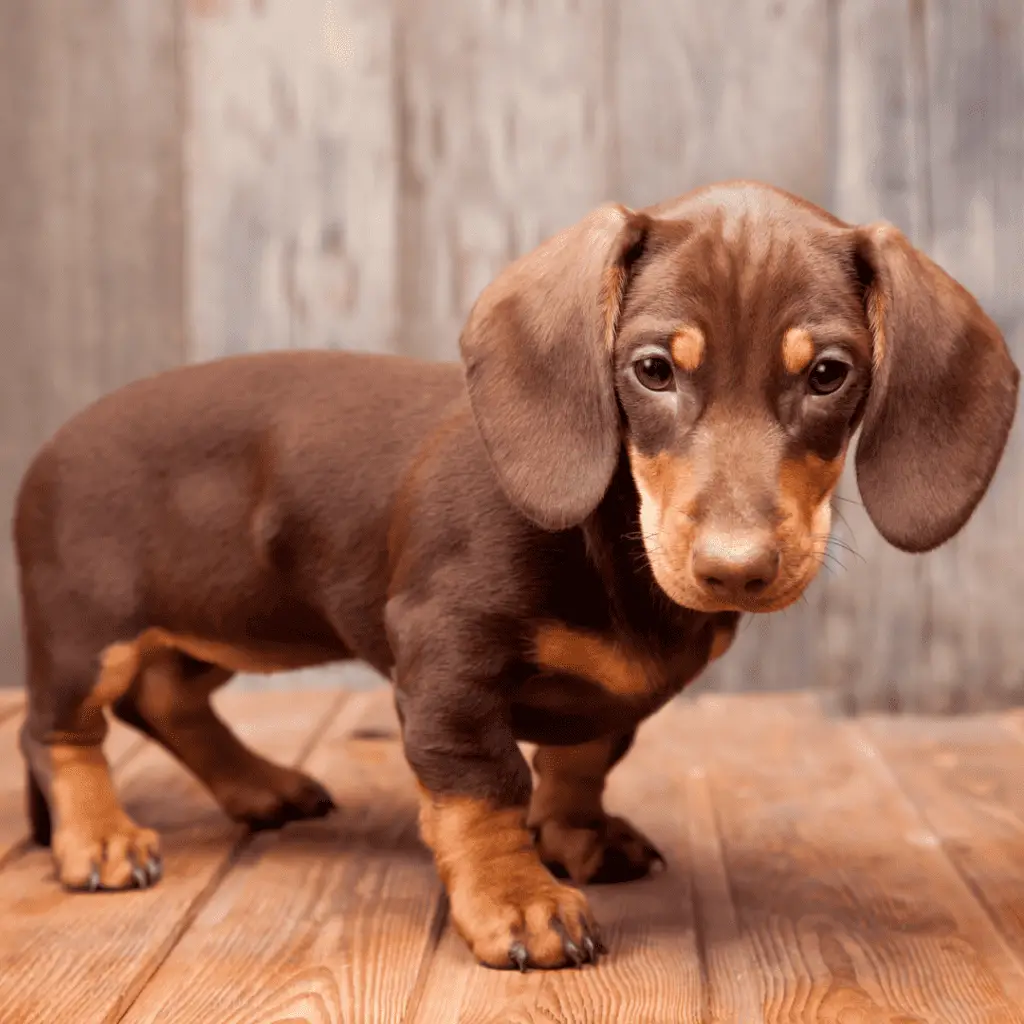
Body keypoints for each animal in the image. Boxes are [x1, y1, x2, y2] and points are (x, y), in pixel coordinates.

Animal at [14, 180, 1015, 970]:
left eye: (830, 373)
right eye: (653, 369)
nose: (736, 570)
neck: (612, 542)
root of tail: (51, 445)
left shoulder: (609, 699)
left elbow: (583, 759)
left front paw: (577, 837)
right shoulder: (447, 662)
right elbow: (485, 786)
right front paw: (518, 902)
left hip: (225, 628)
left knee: (166, 699)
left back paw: (259, 784)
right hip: (85, 632)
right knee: (59, 731)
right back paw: (100, 838)